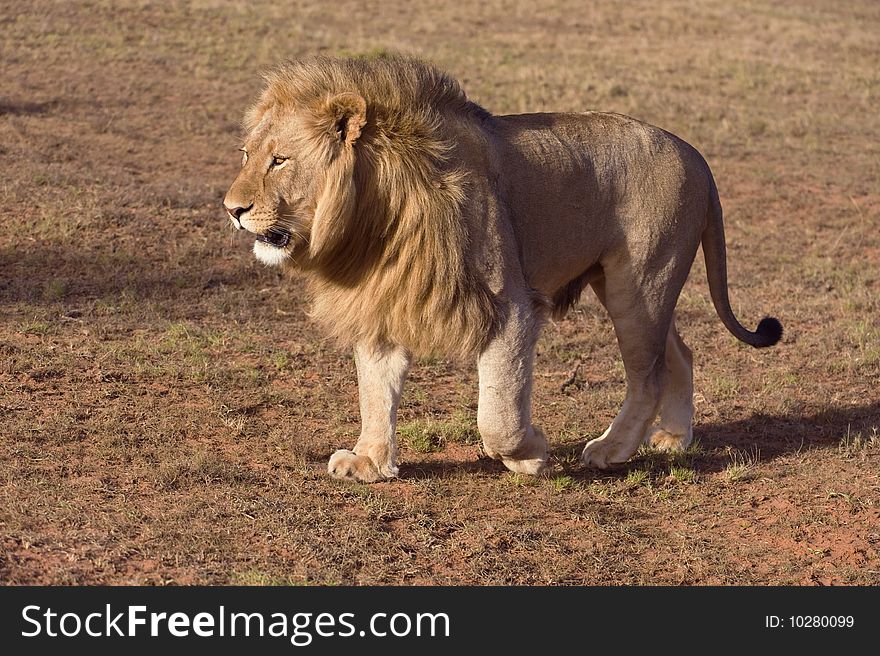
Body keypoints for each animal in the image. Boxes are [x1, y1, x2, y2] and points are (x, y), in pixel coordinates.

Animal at [223, 53, 780, 482]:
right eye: (247, 154)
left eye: (280, 160)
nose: (232, 209)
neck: (376, 217)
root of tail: (696, 155)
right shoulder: (384, 302)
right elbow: (375, 391)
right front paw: (370, 461)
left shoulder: (510, 305)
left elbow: (497, 415)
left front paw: (531, 455)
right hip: (631, 286)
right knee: (678, 355)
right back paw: (675, 437)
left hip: (640, 283)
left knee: (648, 374)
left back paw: (611, 449)